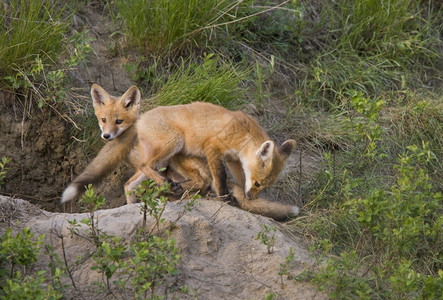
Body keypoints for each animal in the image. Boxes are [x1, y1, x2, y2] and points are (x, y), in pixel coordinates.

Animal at [60, 84, 300, 220]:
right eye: (258, 183)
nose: (252, 196)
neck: (243, 134)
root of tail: (140, 119)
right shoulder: (214, 147)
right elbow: (221, 177)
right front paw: (226, 196)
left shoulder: (233, 160)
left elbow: (237, 179)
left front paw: (241, 198)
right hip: (173, 145)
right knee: (150, 168)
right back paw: (172, 187)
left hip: (162, 160)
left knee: (133, 182)